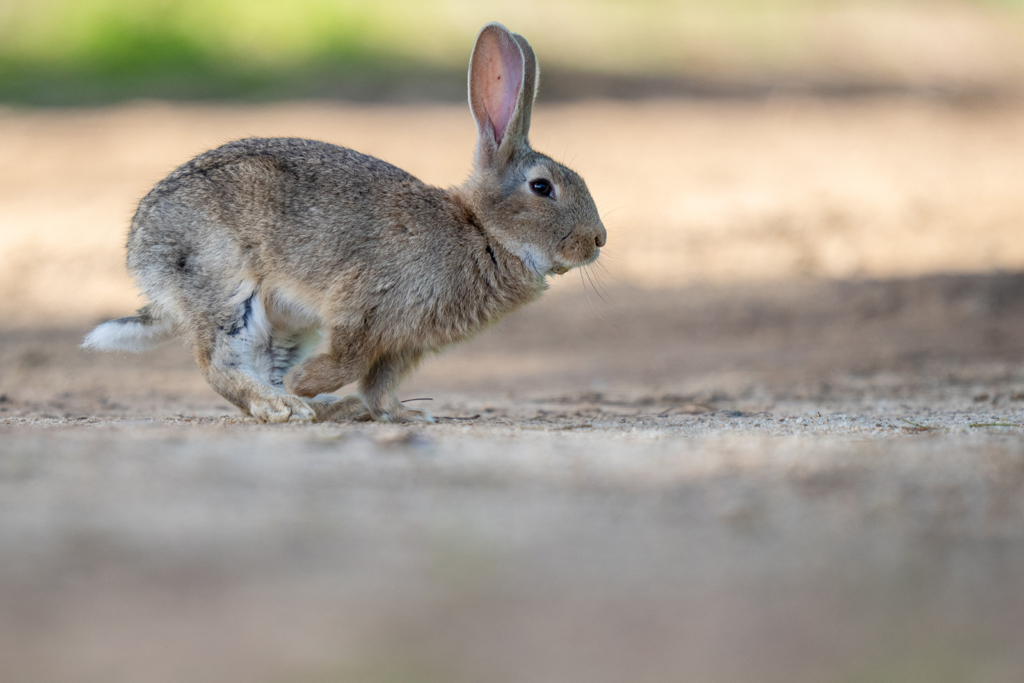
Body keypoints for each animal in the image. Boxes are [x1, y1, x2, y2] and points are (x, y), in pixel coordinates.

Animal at [86, 22, 606, 421]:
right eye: (542, 187)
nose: (598, 240)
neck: (482, 231)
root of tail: (140, 248)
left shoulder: (406, 345)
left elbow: (380, 383)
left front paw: (402, 416)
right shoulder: (365, 306)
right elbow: (350, 359)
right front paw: (308, 382)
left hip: (286, 325)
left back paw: (322, 407)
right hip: (223, 284)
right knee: (218, 363)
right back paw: (286, 405)